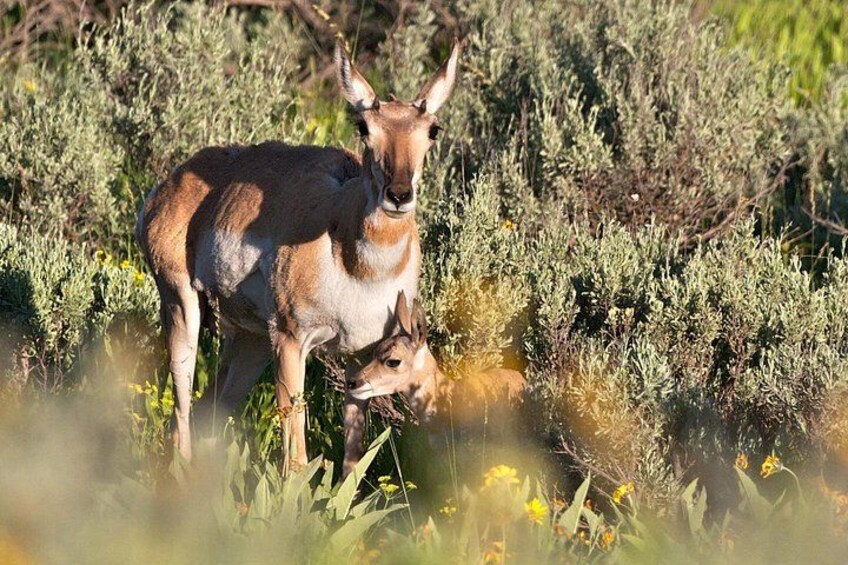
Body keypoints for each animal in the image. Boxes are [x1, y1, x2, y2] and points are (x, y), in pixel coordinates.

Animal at [135, 38, 461, 475]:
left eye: (432, 130)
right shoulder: (291, 341)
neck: (355, 263)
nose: (398, 194)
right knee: (181, 413)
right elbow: (296, 459)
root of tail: (172, 181)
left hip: (252, 340)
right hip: (182, 307)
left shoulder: (362, 358)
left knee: (209, 411)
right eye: (364, 127)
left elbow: (354, 457)